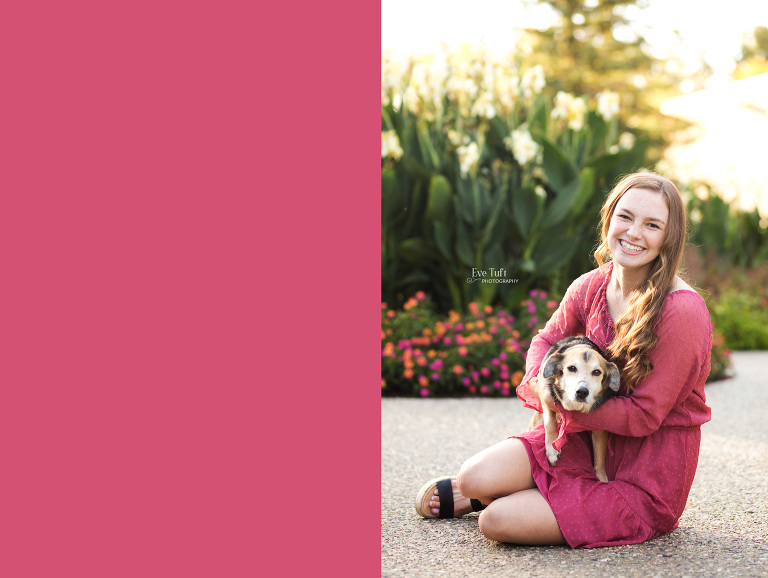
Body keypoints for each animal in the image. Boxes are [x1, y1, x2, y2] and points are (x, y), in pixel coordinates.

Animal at [532, 336, 620, 480]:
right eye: (571, 368)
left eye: (597, 372)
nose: (582, 392)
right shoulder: (546, 397)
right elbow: (550, 423)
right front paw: (552, 449)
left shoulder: (600, 426)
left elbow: (600, 460)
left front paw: (602, 479)